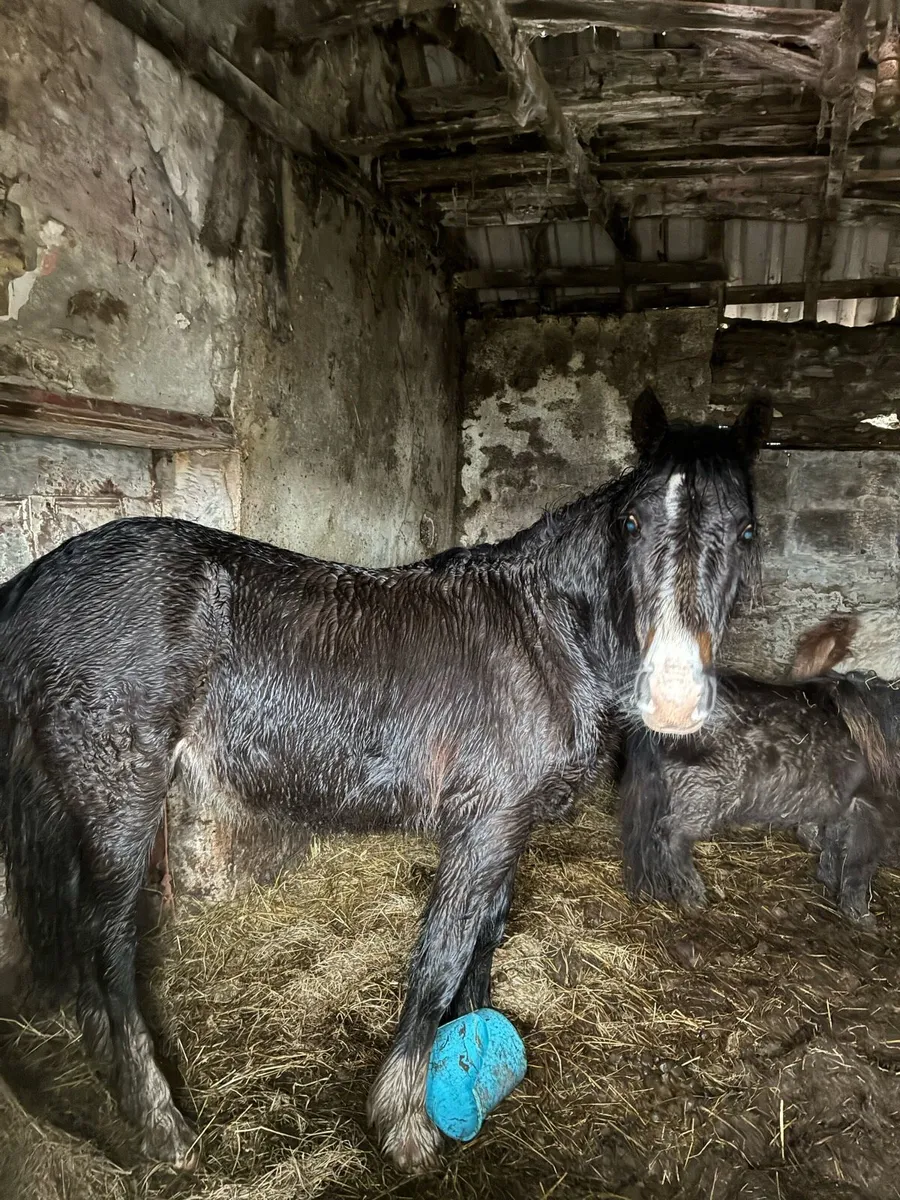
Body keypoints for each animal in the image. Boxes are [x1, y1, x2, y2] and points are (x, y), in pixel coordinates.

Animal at [0, 387, 770, 1173]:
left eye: (746, 531)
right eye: (632, 522)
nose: (672, 696)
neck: (545, 633)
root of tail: (37, 581)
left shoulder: (507, 827)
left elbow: (484, 941)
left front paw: (472, 1055)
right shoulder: (485, 826)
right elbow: (441, 957)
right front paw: (406, 1121)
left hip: (72, 801)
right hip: (121, 802)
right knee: (109, 947)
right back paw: (161, 1122)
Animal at [619, 670, 900, 925]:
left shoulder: (844, 806)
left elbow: (834, 845)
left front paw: (829, 878)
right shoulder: (875, 815)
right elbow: (859, 865)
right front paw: (861, 916)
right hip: (701, 795)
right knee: (670, 835)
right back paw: (693, 895)